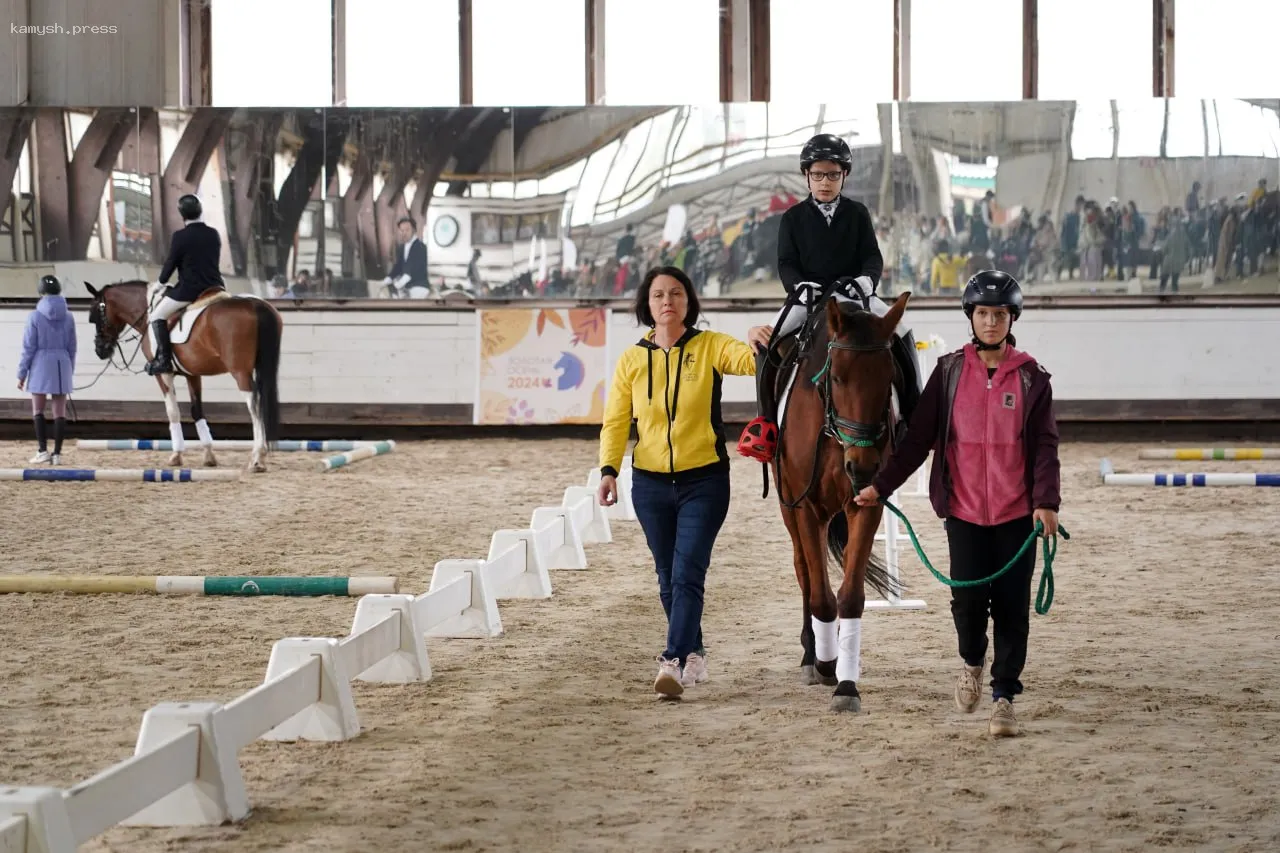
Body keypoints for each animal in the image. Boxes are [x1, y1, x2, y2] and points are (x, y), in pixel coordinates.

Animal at [83, 279, 281, 468]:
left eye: (94, 316)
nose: (100, 350)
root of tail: (255, 305)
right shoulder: (193, 374)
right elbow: (197, 411)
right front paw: (208, 456)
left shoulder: (163, 374)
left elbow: (173, 412)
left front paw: (176, 456)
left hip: (240, 372)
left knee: (255, 406)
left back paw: (257, 458)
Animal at [768, 290, 911, 712]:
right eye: (835, 377)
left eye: (889, 378)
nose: (862, 466)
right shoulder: (805, 507)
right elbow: (820, 596)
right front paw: (826, 663)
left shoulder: (865, 504)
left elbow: (849, 597)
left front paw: (847, 684)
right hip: (788, 506)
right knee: (803, 570)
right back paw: (810, 654)